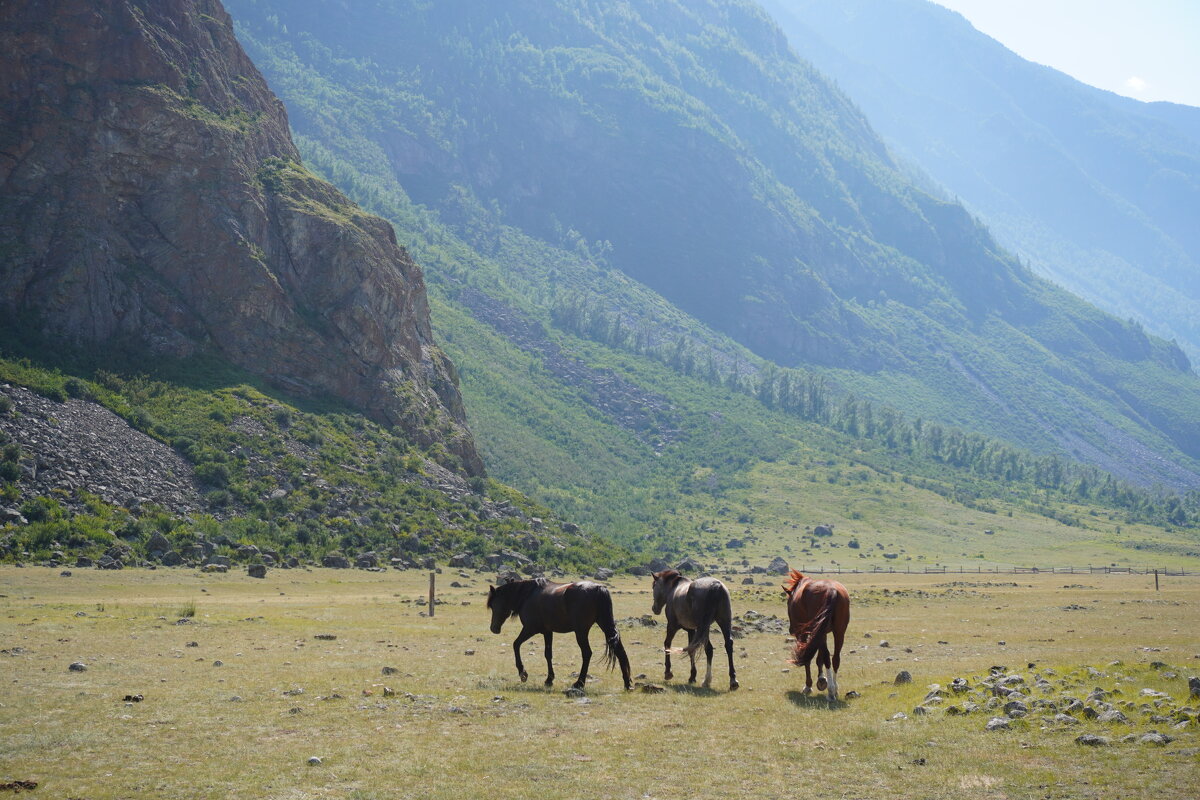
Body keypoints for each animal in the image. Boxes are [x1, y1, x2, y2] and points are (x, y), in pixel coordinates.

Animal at [487, 578, 638, 690]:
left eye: (494, 605)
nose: (493, 628)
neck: (527, 596)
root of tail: (598, 588)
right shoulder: (547, 632)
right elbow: (548, 654)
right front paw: (549, 679)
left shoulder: (530, 629)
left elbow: (516, 644)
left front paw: (523, 673)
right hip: (605, 625)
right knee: (619, 651)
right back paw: (626, 683)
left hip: (581, 632)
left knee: (587, 653)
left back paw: (579, 683)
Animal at [782, 568, 849, 700]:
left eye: (788, 603)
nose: (791, 630)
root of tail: (832, 590)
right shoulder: (822, 632)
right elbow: (819, 657)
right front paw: (822, 679)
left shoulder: (803, 633)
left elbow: (808, 657)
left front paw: (808, 685)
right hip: (838, 631)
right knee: (835, 658)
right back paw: (835, 688)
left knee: (827, 658)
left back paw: (831, 691)